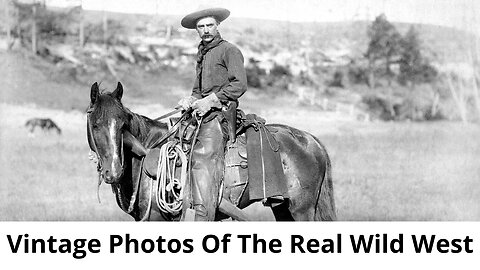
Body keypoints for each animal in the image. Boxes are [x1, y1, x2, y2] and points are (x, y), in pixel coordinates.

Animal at [86, 82, 336, 221]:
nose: (113, 171)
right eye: (95, 124)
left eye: (122, 125)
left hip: (302, 209)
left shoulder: (158, 217)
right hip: (282, 207)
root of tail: (311, 141)